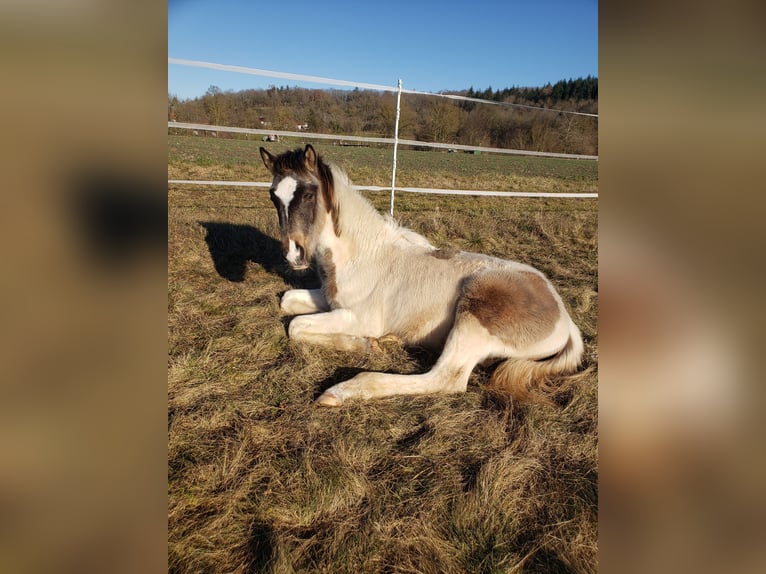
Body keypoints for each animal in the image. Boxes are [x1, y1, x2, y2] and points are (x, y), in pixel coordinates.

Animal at [260, 144, 584, 408]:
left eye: (309, 194)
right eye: (273, 196)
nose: (294, 255)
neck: (361, 256)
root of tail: (565, 319)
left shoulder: (360, 317)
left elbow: (295, 325)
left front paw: (366, 344)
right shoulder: (331, 301)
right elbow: (287, 302)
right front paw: (368, 344)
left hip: (473, 317)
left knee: (445, 378)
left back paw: (341, 391)